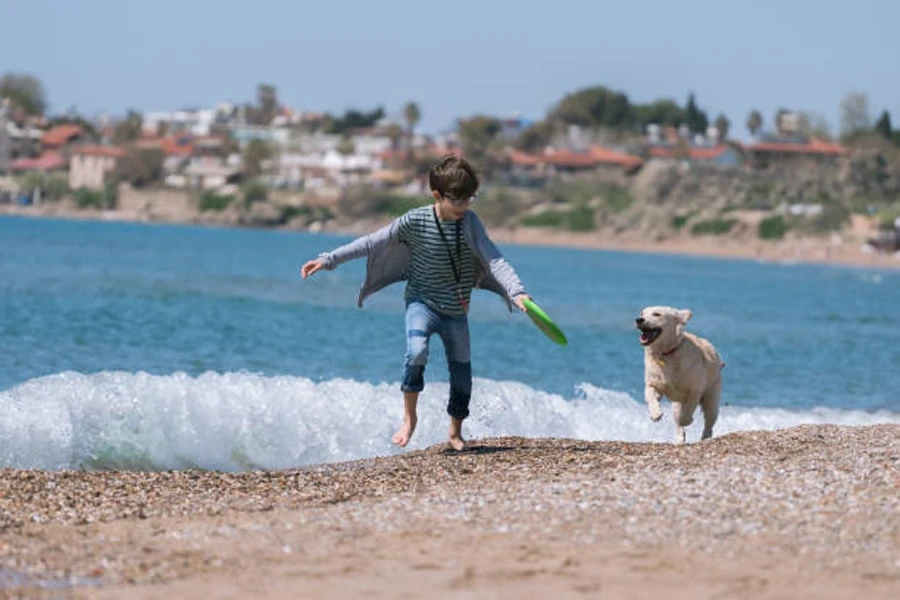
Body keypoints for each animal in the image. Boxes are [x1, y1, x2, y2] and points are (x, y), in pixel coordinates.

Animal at [632, 308, 724, 442]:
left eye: (657, 314)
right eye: (642, 313)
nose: (639, 320)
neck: (666, 353)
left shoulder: (694, 390)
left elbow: (685, 414)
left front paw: (688, 420)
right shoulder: (654, 383)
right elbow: (650, 394)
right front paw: (655, 413)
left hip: (712, 397)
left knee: (709, 421)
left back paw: (705, 437)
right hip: (677, 404)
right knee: (678, 417)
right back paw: (680, 437)